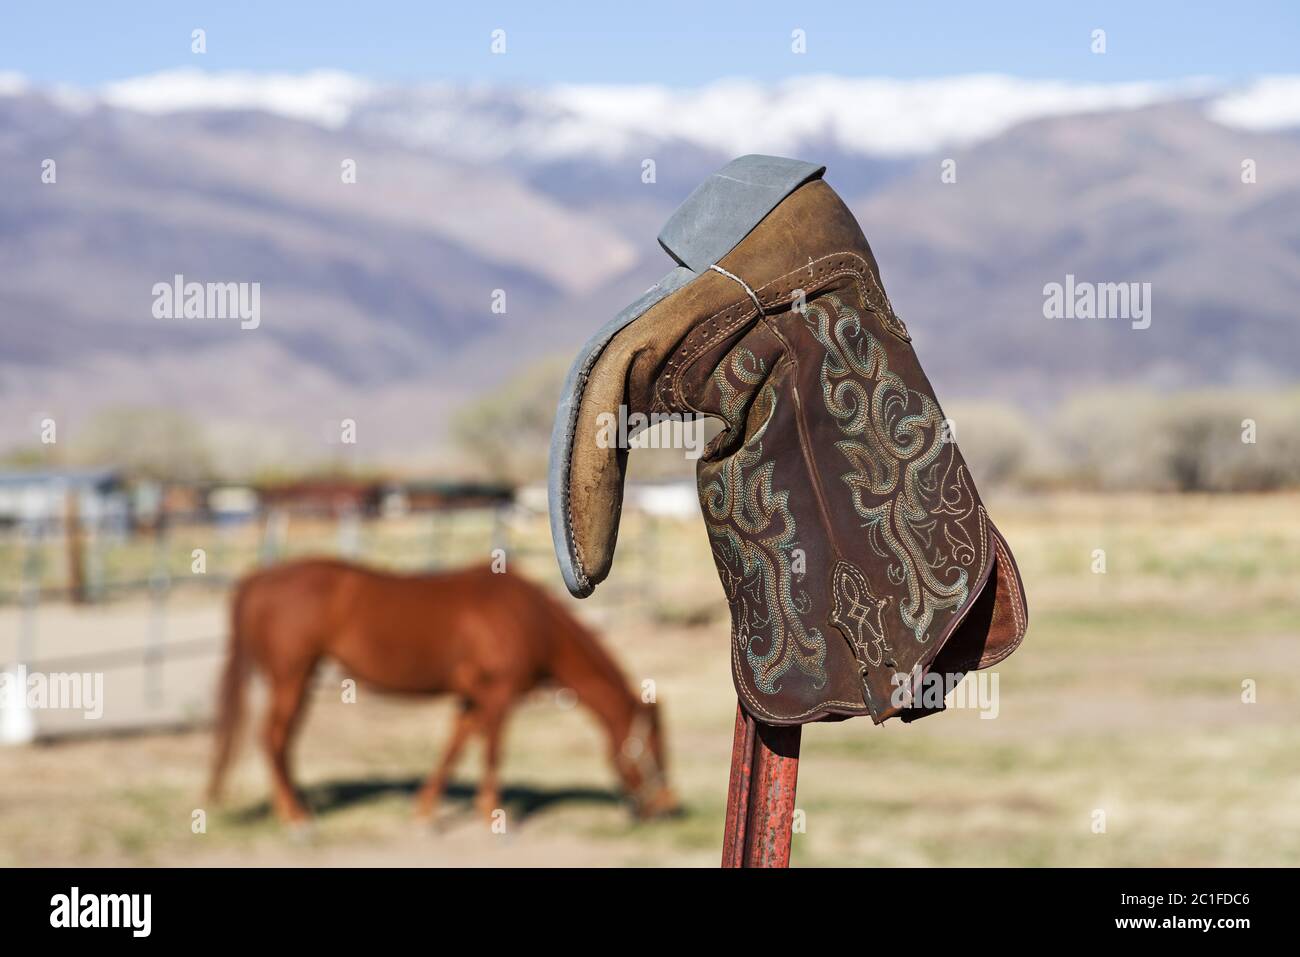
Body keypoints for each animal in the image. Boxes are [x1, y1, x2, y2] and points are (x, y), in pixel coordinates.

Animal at [204, 556, 681, 826]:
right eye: (650, 748)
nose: (664, 805)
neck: (531, 620)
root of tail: (257, 580)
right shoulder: (499, 695)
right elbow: (491, 752)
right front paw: (491, 815)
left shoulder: (473, 698)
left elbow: (454, 747)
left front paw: (425, 809)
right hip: (292, 677)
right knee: (273, 738)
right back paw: (295, 816)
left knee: (278, 741)